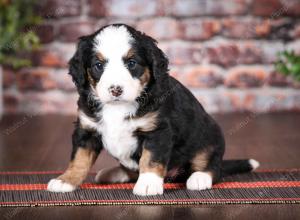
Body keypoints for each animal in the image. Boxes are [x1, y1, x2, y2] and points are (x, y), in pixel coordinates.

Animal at [47, 24, 260, 196]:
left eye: (131, 63)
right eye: (98, 65)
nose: (115, 89)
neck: (118, 107)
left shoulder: (157, 131)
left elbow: (150, 160)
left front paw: (148, 184)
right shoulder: (86, 130)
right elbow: (78, 159)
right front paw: (66, 180)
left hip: (210, 138)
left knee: (213, 167)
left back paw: (200, 178)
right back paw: (112, 173)